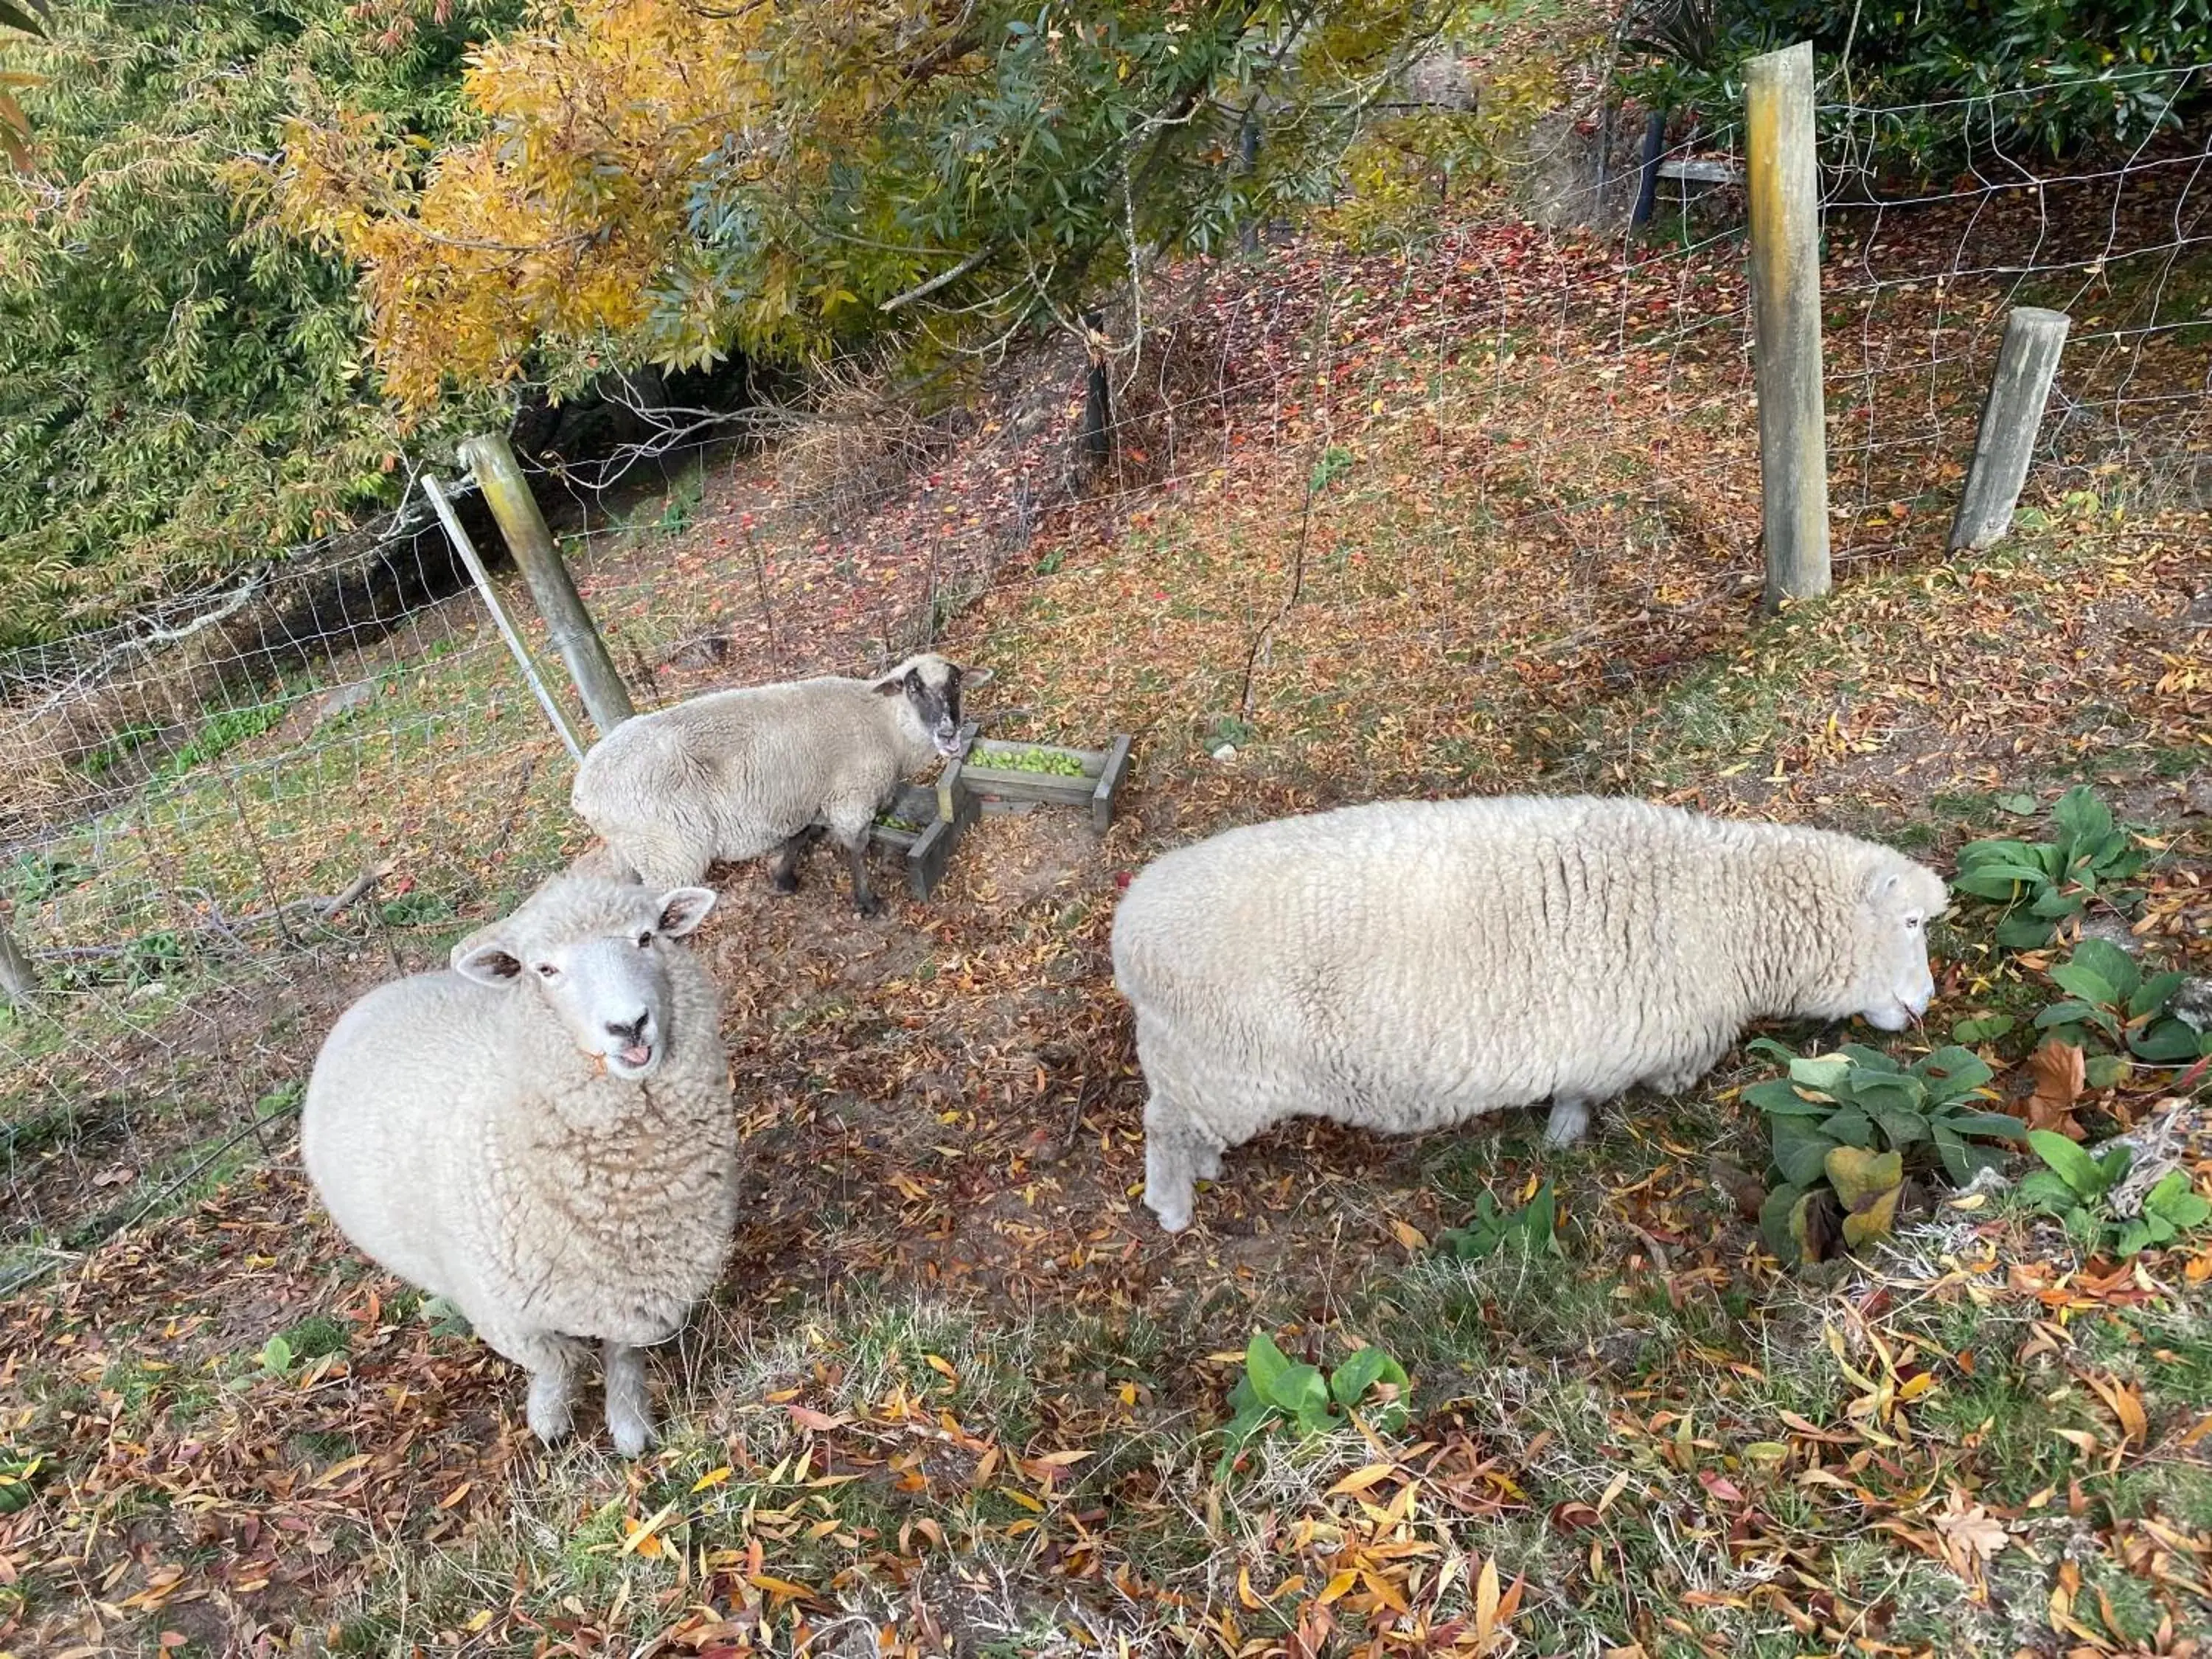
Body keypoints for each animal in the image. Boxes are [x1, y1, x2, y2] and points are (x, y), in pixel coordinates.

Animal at [296, 872, 734, 1451]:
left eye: (646, 937)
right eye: (544, 969)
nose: (629, 1025)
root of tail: (380, 991)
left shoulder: (633, 1293)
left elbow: (622, 1355)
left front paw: (629, 1424)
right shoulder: (503, 1311)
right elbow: (558, 1362)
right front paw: (549, 1416)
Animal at [571, 655, 995, 925]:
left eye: (956, 683)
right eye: (913, 687)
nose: (949, 733)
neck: (885, 723)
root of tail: (583, 791)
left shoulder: (810, 796)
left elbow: (801, 834)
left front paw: (783, 879)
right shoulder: (851, 797)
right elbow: (855, 848)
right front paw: (866, 902)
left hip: (635, 849)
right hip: (669, 852)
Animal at [1115, 792, 1947, 1239]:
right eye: (1910, 924)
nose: (1925, 1004)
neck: (1721, 909)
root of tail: (1129, 931)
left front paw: (1560, 1136)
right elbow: (1593, 1095)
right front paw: (1567, 1137)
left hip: (1201, 1069)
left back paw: (1206, 1170)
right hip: (1218, 1067)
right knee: (1163, 1130)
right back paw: (1172, 1206)